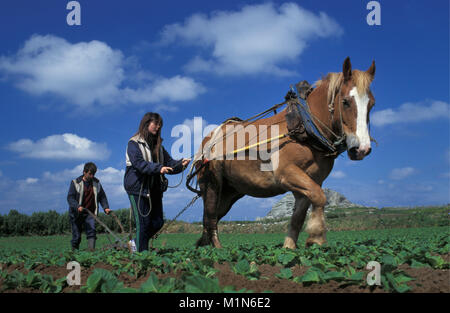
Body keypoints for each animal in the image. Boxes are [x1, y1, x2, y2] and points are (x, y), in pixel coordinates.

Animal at [190, 56, 376, 249]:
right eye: (345, 101)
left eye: (371, 103)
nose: (361, 149)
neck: (305, 127)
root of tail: (207, 139)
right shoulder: (286, 173)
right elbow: (320, 196)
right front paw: (316, 237)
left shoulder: (308, 182)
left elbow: (298, 217)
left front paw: (289, 247)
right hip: (211, 183)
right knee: (210, 217)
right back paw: (217, 249)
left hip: (230, 192)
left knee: (213, 217)